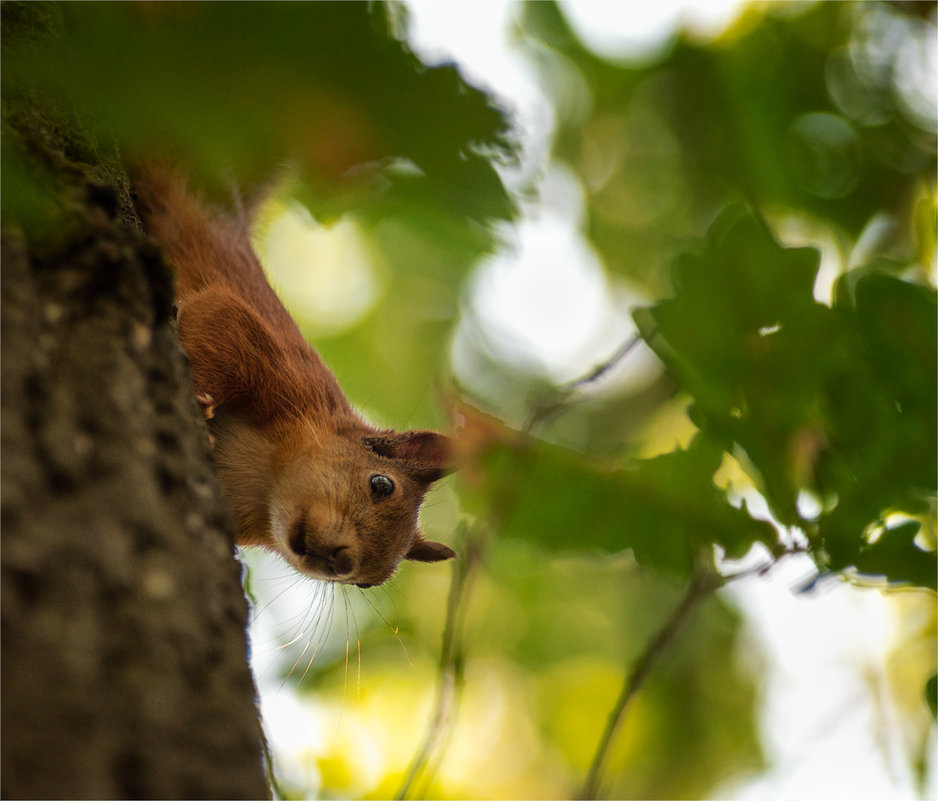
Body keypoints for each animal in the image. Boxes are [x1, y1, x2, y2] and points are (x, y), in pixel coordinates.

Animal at [131, 164, 454, 588]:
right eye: (381, 484)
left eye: (366, 582)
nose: (340, 563)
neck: (263, 482)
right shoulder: (278, 365)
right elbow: (217, 322)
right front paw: (201, 398)